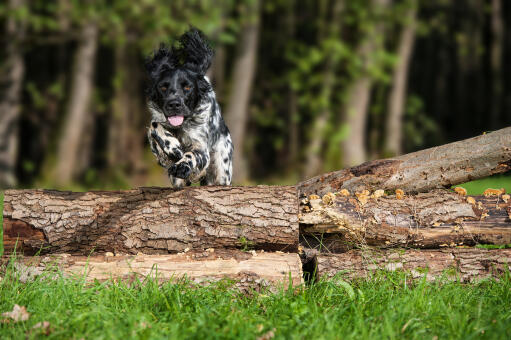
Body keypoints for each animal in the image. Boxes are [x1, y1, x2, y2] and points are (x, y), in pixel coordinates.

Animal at [144, 29, 232, 187]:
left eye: (187, 87)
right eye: (163, 87)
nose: (174, 104)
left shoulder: (201, 147)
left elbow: (191, 154)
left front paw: (181, 165)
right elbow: (154, 125)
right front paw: (173, 147)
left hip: (221, 172)